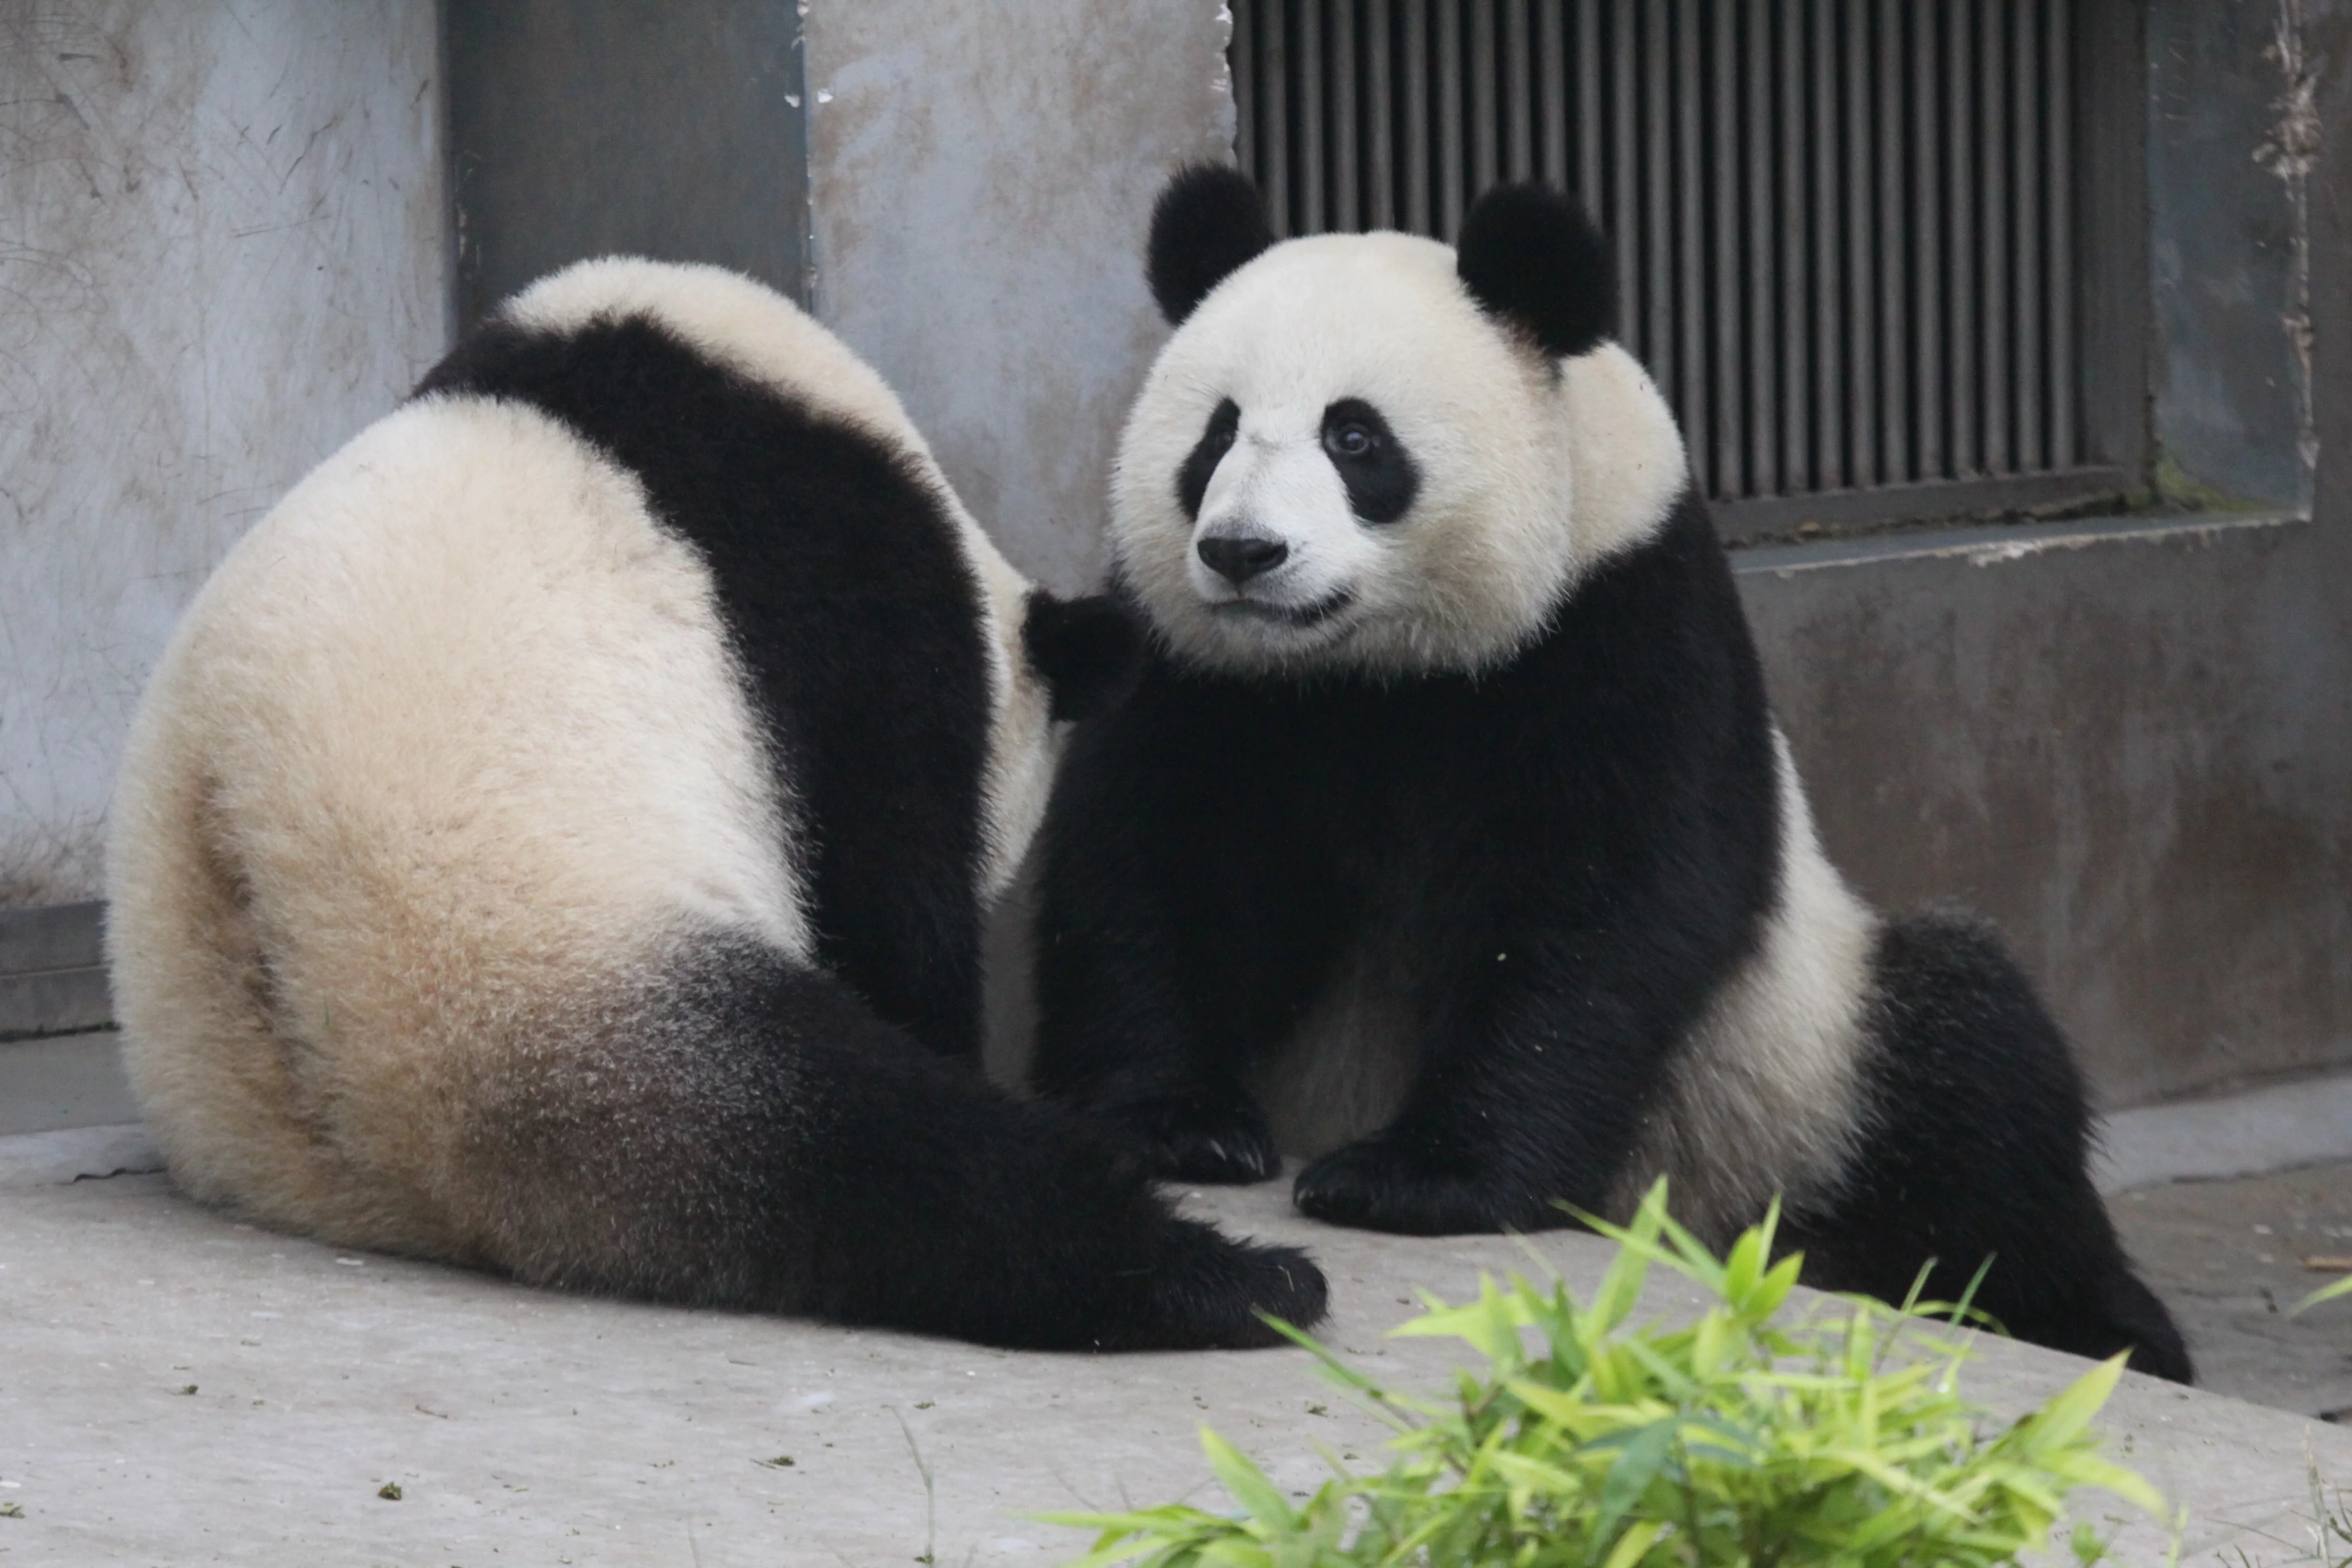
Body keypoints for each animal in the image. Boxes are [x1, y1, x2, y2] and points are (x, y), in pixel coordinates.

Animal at [1029, 167, 2191, 1381]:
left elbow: (1604, 906)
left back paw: (2097, 1326)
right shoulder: (1198, 671)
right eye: (1215, 436)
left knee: (1976, 1072)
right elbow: (1149, 867)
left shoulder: (1621, 620)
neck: (1366, 671)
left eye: (1354, 437)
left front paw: (1419, 1178)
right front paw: (1180, 1122)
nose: (1244, 554)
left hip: (1797, 1067)